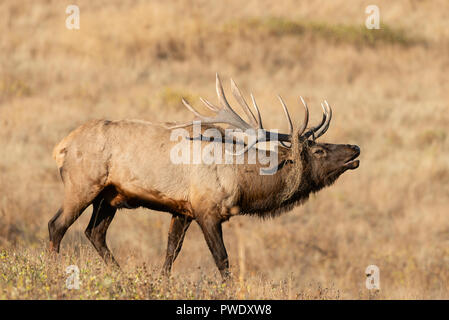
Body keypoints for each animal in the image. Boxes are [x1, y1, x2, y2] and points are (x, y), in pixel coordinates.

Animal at [48, 74, 360, 278]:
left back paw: (121, 276)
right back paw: (53, 273)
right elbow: (222, 260)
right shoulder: (205, 210)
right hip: (82, 185)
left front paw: (161, 283)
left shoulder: (182, 210)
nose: (355, 148)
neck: (242, 181)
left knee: (94, 233)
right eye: (318, 150)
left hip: (110, 196)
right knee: (57, 226)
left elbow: (171, 252)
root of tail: (61, 146)